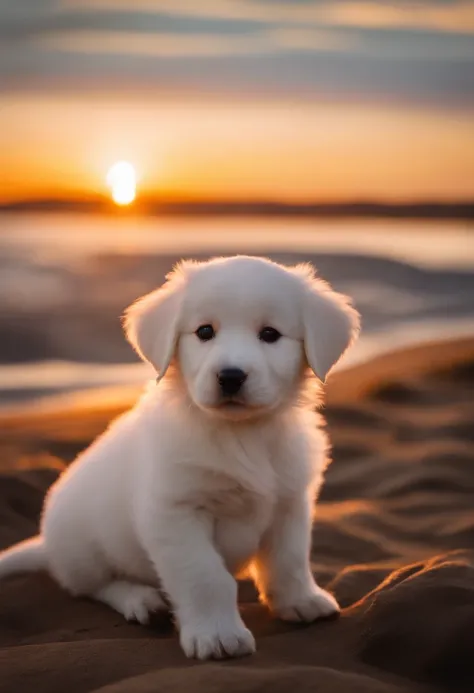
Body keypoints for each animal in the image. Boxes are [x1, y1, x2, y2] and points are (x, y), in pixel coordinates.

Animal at [0, 255, 360, 660]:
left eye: (270, 334)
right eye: (204, 331)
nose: (230, 376)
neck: (241, 434)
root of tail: (47, 545)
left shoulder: (290, 502)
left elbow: (290, 559)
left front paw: (300, 600)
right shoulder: (175, 513)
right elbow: (205, 576)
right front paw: (217, 634)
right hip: (83, 549)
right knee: (98, 586)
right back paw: (141, 600)